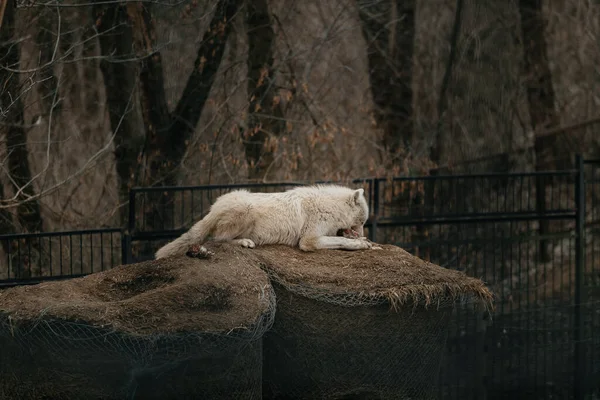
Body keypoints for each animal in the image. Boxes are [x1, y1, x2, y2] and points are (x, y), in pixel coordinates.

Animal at [156, 184, 380, 260]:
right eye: (362, 221)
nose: (362, 233)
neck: (331, 207)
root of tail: (213, 208)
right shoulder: (308, 240)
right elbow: (341, 241)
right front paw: (360, 244)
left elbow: (340, 237)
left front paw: (362, 241)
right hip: (245, 209)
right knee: (217, 240)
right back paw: (245, 242)